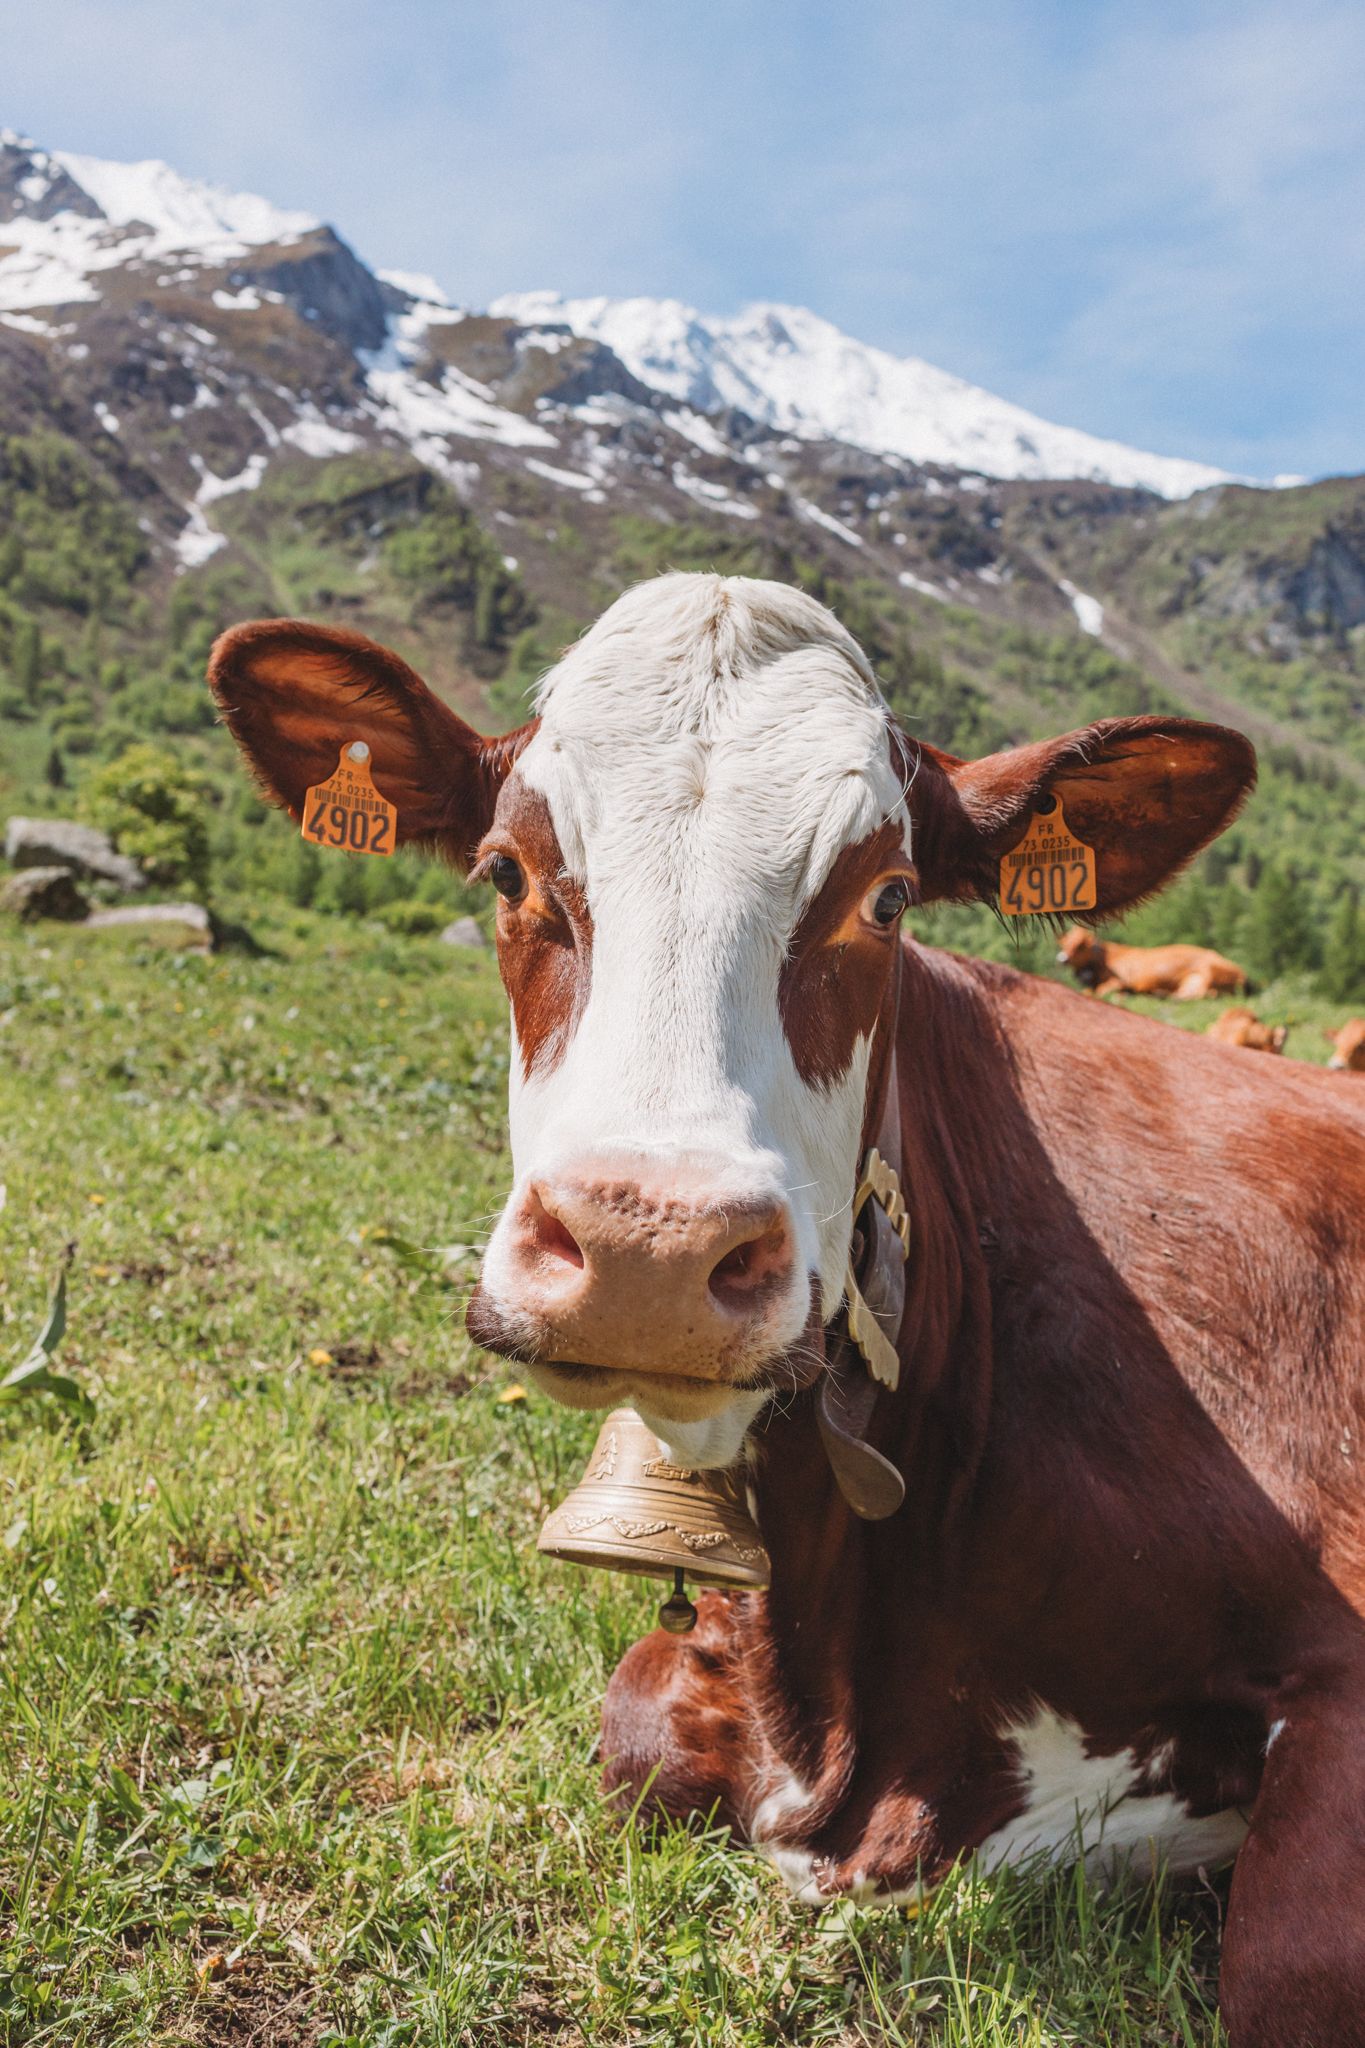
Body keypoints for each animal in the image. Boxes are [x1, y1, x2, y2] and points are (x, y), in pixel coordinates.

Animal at [1059, 926, 1250, 1000]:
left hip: (1208, 970)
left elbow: (1102, 991)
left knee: (1205, 993)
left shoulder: (1120, 980)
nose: (1062, 959)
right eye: (1064, 943)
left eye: (1080, 945)